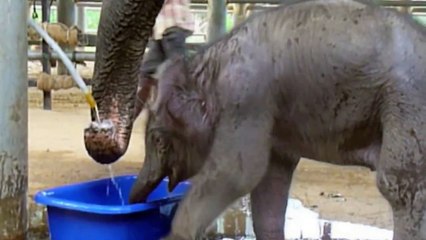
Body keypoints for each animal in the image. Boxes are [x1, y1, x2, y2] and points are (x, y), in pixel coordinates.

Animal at [130, 0, 426, 239]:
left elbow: (237, 173)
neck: (206, 65)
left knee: (400, 185)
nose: (134, 203)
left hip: (407, 102)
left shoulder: (246, 99)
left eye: (158, 139)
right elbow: (269, 181)